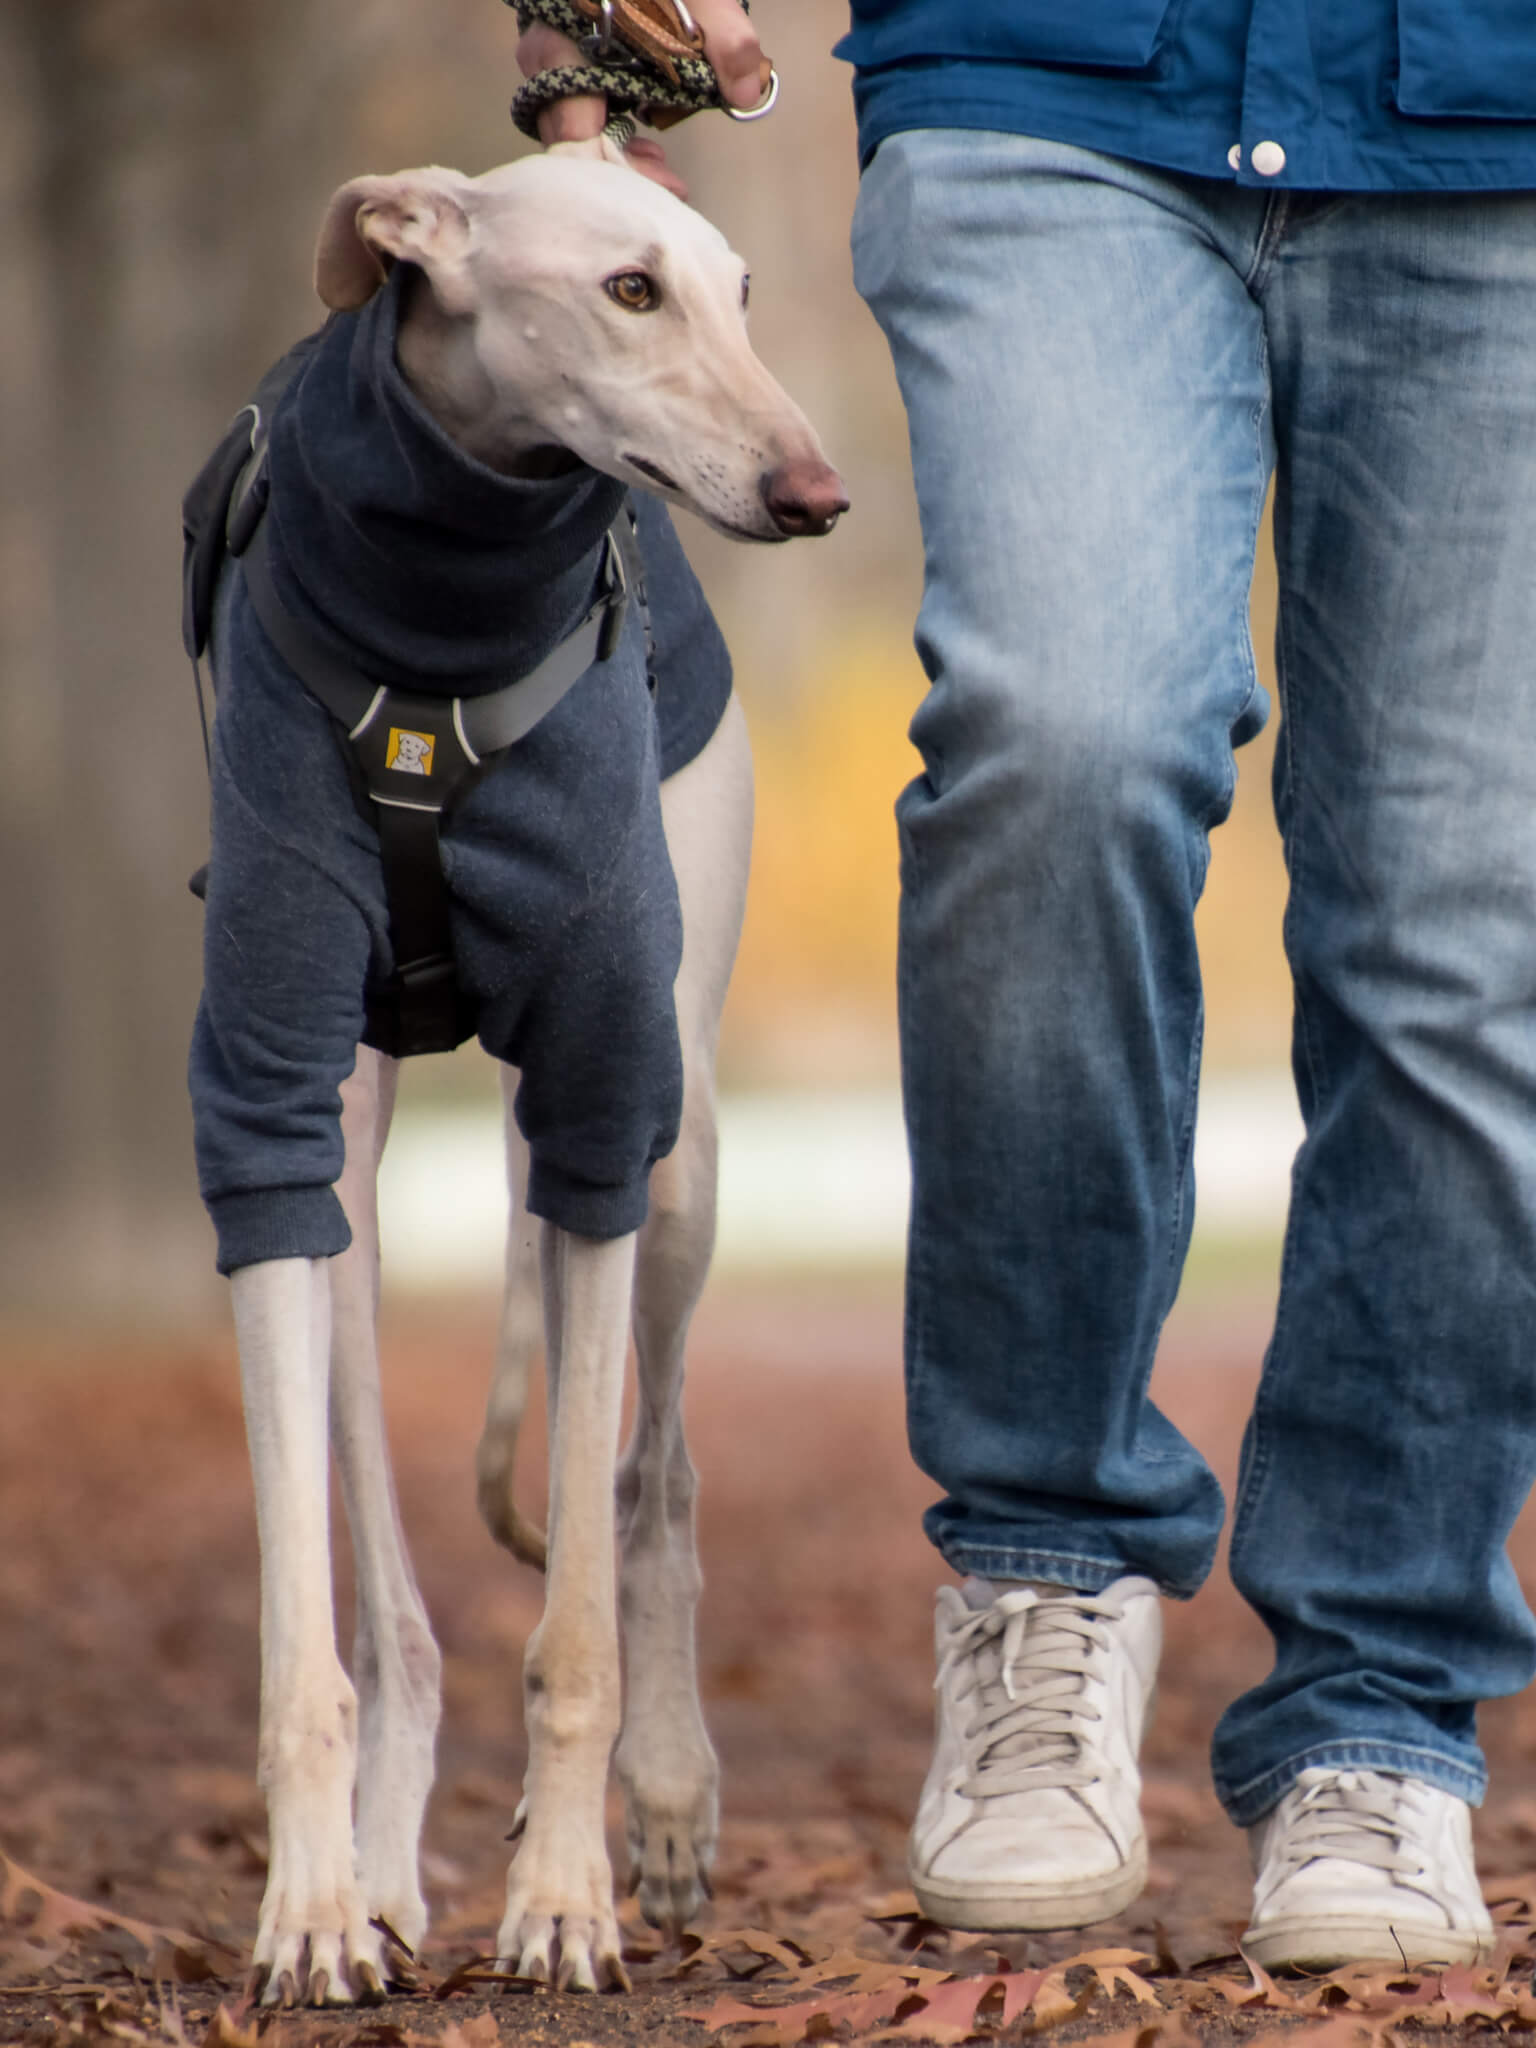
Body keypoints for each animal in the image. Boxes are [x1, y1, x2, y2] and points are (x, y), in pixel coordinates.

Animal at [234, 140, 847, 1998]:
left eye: (739, 292)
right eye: (628, 289)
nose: (816, 492)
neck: (435, 625)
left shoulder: (590, 1124)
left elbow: (575, 1608)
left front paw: (568, 1892)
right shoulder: (275, 1114)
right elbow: (321, 1620)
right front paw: (314, 1903)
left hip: (681, 1137)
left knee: (657, 1479)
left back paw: (669, 1791)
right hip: (369, 1184)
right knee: (402, 1594)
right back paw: (381, 1869)